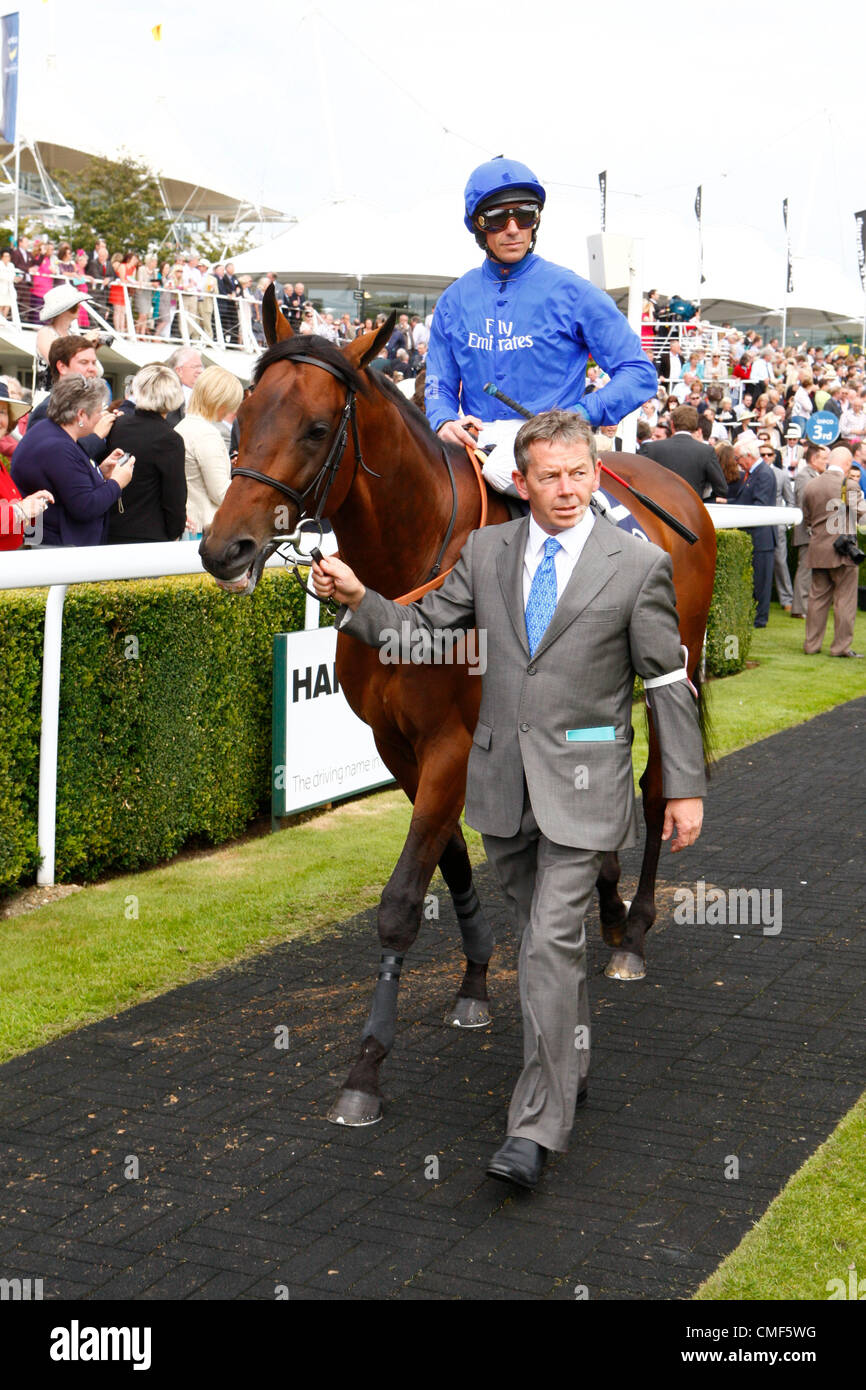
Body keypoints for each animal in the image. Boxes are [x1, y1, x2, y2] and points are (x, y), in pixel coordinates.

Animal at [200, 287, 717, 1123]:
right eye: (241, 418)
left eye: (316, 428)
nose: (225, 548)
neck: (413, 566)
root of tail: (672, 482)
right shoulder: (397, 744)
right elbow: (450, 859)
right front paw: (475, 979)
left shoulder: (453, 741)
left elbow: (403, 897)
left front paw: (366, 1069)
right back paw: (606, 902)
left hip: (682, 659)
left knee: (657, 782)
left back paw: (633, 930)